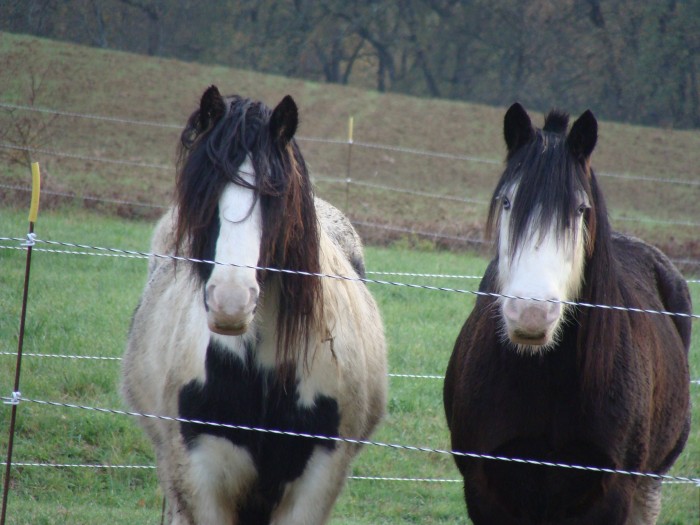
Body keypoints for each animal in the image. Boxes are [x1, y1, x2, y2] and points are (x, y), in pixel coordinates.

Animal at [442, 103, 688, 524]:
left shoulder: (611, 494)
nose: (530, 313)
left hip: (651, 480)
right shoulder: (486, 489)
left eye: (580, 209)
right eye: (507, 202)